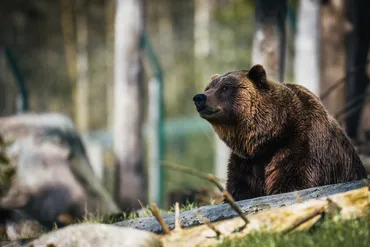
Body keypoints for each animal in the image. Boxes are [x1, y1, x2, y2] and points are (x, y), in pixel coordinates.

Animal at [194, 63, 368, 201]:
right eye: (208, 87)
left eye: (225, 87)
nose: (199, 97)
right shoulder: (246, 162)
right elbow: (239, 189)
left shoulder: (301, 145)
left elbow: (293, 182)